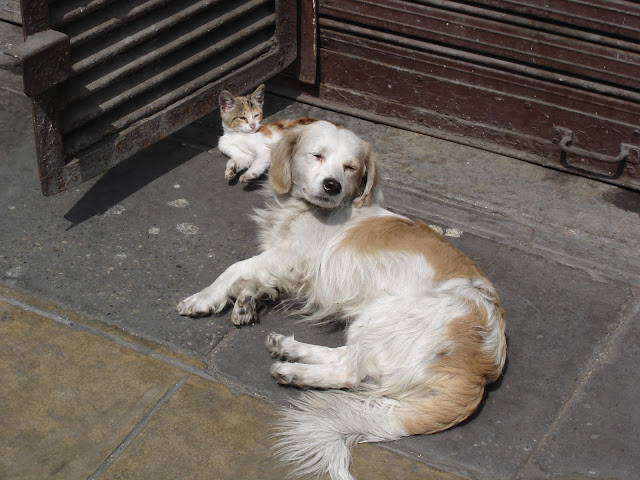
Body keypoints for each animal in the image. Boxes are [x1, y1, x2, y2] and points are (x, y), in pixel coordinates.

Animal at [177, 120, 507, 480]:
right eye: (317, 155)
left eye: (350, 167)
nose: (332, 185)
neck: (306, 210)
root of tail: (482, 369)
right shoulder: (291, 269)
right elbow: (259, 282)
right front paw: (248, 301)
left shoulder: (288, 258)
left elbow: (234, 268)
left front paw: (204, 298)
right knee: (348, 359)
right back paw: (290, 349)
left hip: (385, 312)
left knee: (351, 372)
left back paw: (294, 371)